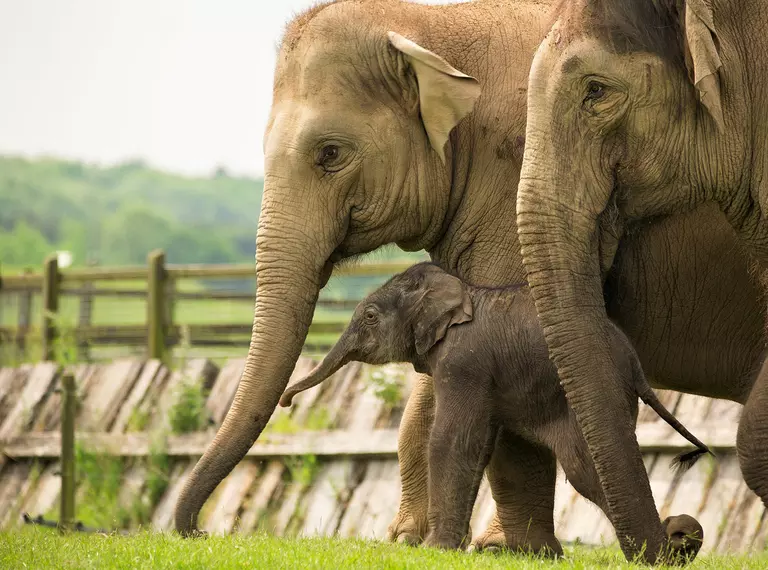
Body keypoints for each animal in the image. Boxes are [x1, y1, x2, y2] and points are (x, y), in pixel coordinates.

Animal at [280, 262, 712, 560]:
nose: (287, 401)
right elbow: (481, 442)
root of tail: (635, 364)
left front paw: (436, 550)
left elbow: (453, 439)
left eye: (370, 316)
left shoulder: (463, 361)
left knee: (583, 467)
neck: (455, 291)